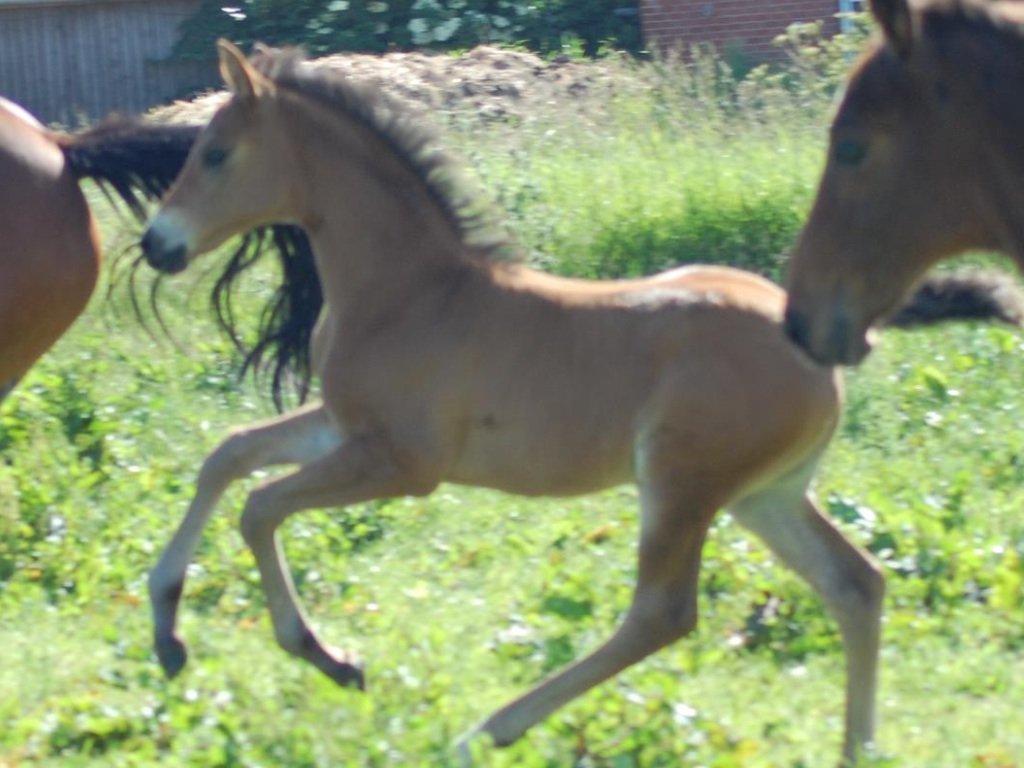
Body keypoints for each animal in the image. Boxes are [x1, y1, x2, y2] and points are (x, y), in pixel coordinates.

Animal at [140, 40, 884, 765]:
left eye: (216, 153)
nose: (156, 243)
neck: (409, 291)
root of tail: (821, 358)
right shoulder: (346, 427)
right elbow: (228, 454)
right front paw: (166, 627)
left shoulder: (404, 464)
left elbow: (260, 507)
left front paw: (327, 656)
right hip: (765, 494)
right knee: (855, 583)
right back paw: (859, 747)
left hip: (683, 485)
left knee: (661, 614)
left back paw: (484, 733)